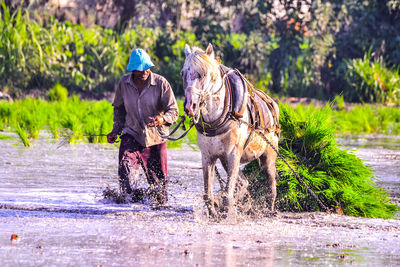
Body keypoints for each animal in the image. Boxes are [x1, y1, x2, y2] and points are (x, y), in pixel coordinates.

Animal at [182, 43, 282, 218]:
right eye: (183, 73)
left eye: (203, 74)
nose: (189, 106)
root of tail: (272, 103)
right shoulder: (208, 156)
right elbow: (208, 193)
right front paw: (214, 212)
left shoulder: (234, 154)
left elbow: (228, 192)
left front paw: (227, 210)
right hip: (225, 159)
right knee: (244, 182)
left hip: (268, 154)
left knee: (271, 182)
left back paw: (269, 209)